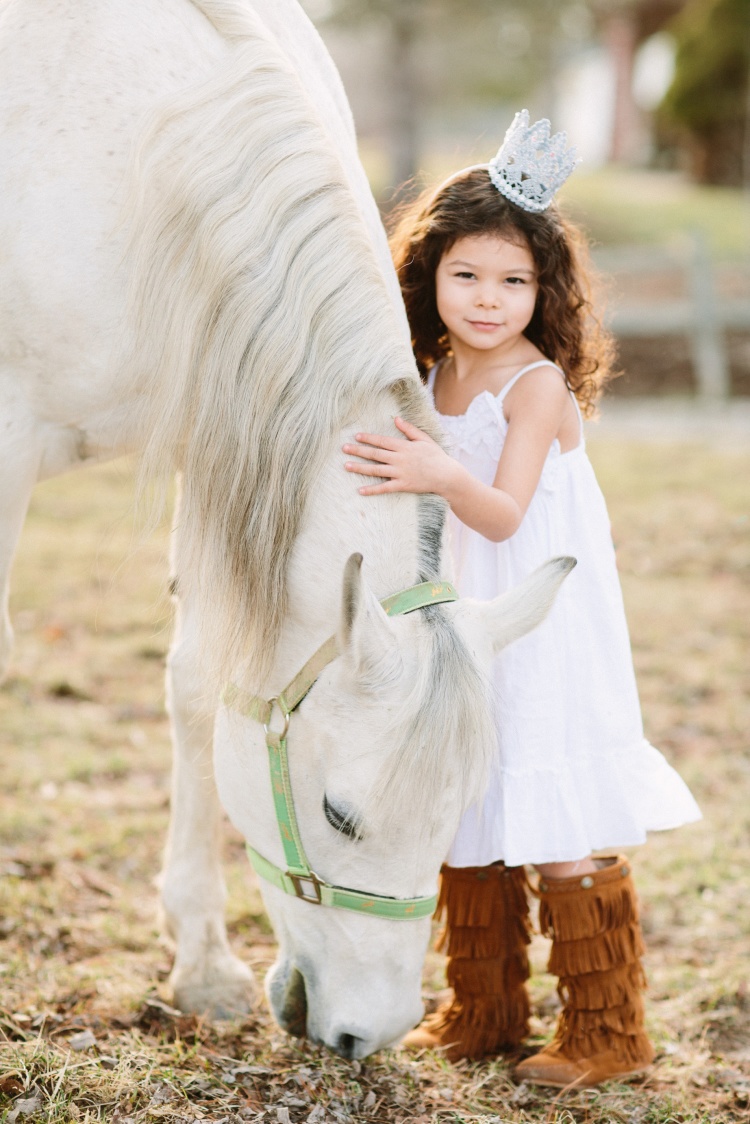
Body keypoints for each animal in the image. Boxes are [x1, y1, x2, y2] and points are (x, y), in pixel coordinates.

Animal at [1, 0, 575, 1056]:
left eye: (459, 812)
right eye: (341, 817)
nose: (370, 1033)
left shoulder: (220, 436)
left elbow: (199, 682)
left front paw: (201, 961)